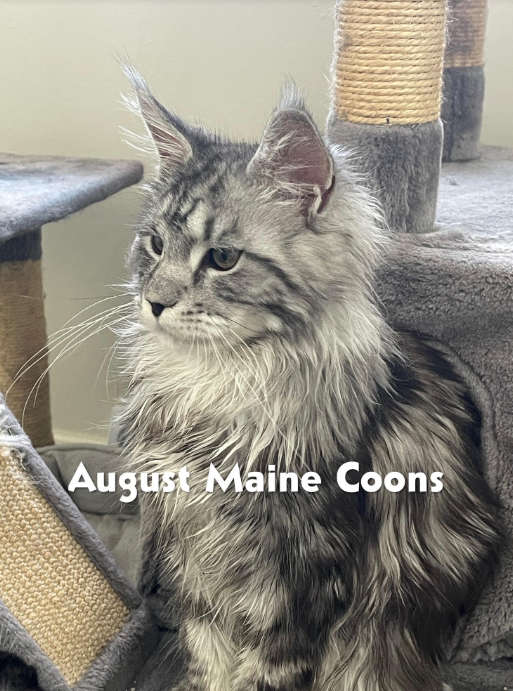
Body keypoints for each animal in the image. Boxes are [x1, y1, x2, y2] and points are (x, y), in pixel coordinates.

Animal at [118, 69, 500, 691]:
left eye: (222, 258)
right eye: (154, 245)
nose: (154, 302)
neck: (218, 383)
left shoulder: (303, 571)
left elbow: (265, 669)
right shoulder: (198, 556)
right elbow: (206, 649)